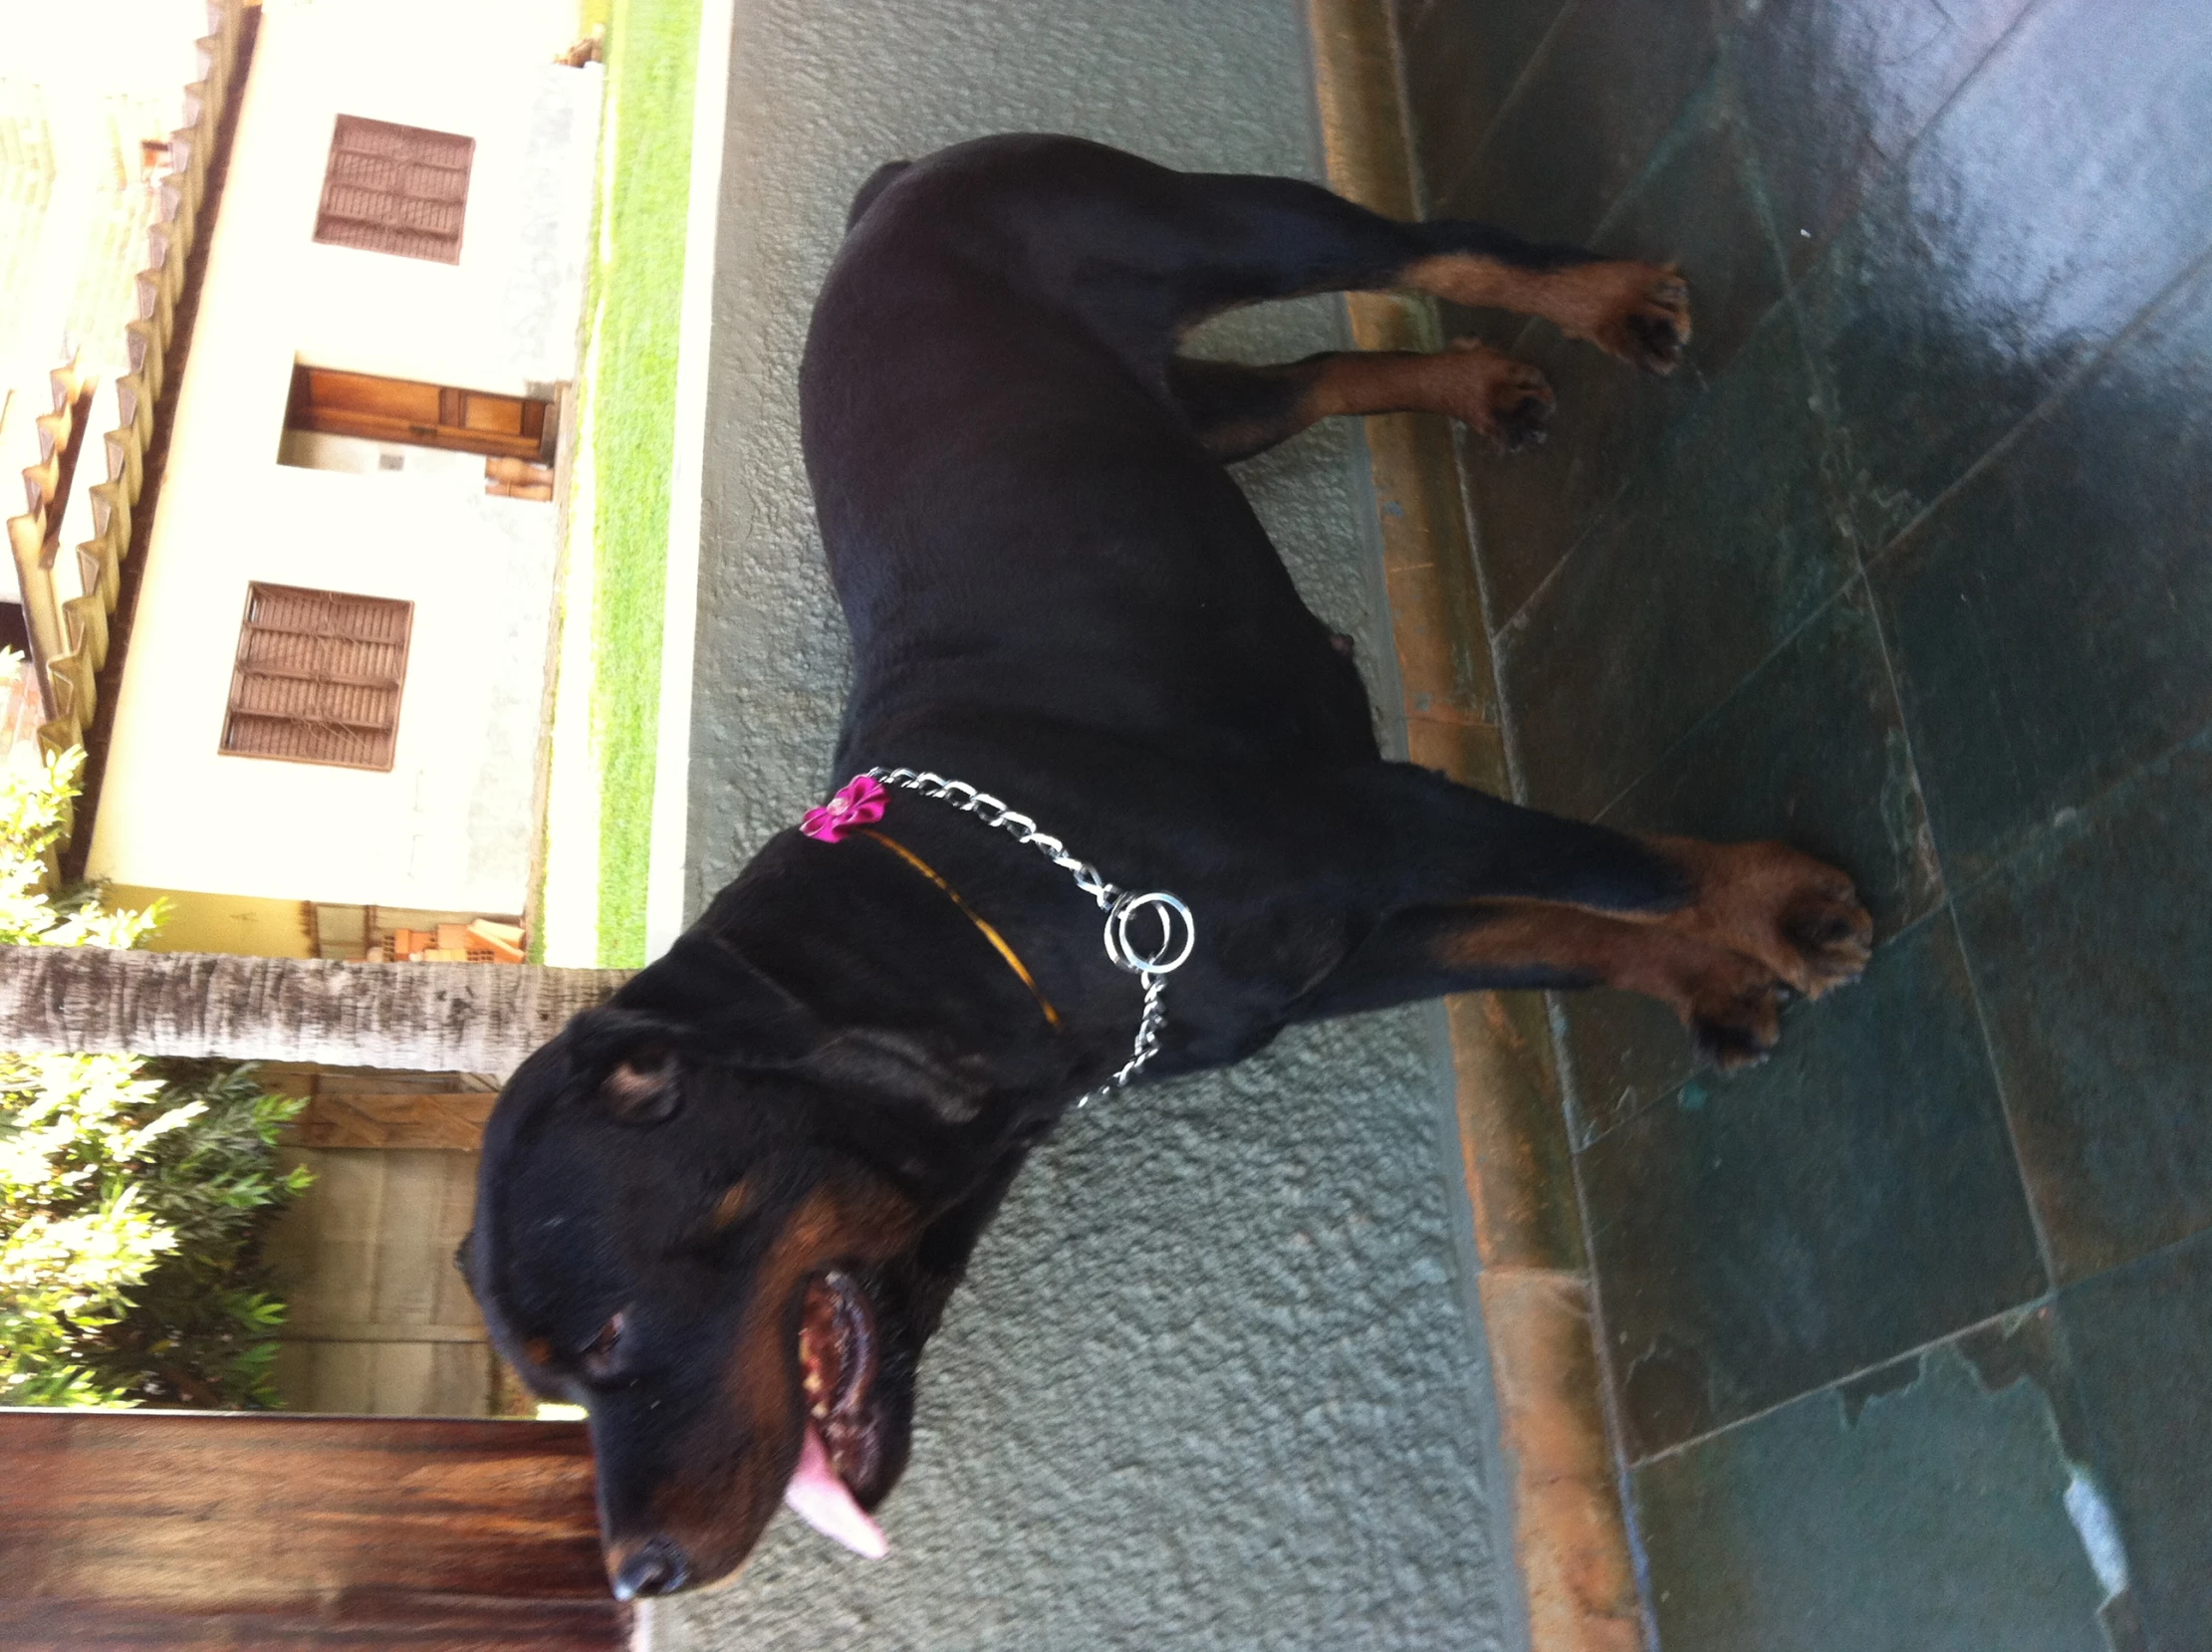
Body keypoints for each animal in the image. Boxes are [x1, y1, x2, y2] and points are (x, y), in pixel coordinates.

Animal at [462, 135, 1866, 1592]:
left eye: (606, 1336)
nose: (634, 1571)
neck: (991, 914)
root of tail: (891, 189)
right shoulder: (1339, 960)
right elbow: (1560, 939)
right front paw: (1711, 978)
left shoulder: (1387, 819)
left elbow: (1616, 867)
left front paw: (1775, 905)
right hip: (1190, 408)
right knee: (1310, 377)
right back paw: (1475, 384)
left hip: (1205, 222)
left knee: (1429, 247)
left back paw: (1605, 301)